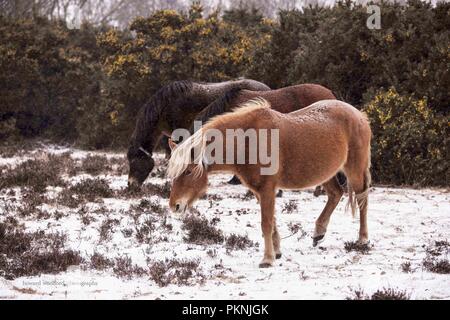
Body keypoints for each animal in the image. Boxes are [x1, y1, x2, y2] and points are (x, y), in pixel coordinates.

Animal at [167, 98, 370, 268]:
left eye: (188, 171)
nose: (174, 206)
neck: (247, 141)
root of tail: (359, 115)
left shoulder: (267, 189)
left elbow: (266, 223)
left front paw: (267, 259)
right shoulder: (260, 191)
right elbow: (272, 221)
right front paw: (277, 252)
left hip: (354, 170)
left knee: (362, 201)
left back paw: (362, 239)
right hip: (326, 173)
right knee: (335, 194)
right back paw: (318, 233)